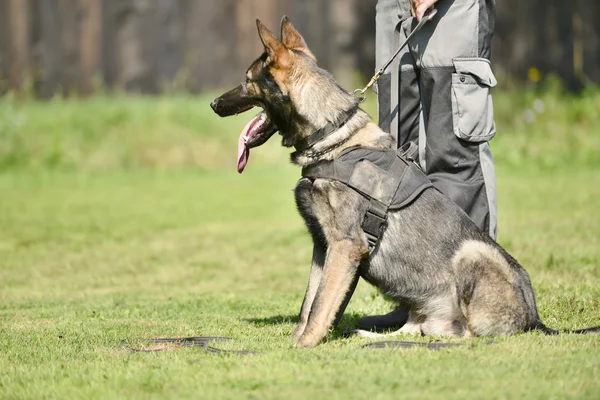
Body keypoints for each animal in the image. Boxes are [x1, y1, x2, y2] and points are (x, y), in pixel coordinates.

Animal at [210, 17, 596, 346]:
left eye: (247, 79)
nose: (214, 103)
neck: (334, 136)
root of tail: (535, 319)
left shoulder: (344, 247)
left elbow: (320, 307)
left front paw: (304, 346)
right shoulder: (323, 246)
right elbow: (310, 304)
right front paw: (297, 340)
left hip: (473, 254)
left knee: (467, 334)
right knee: (421, 328)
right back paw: (373, 336)